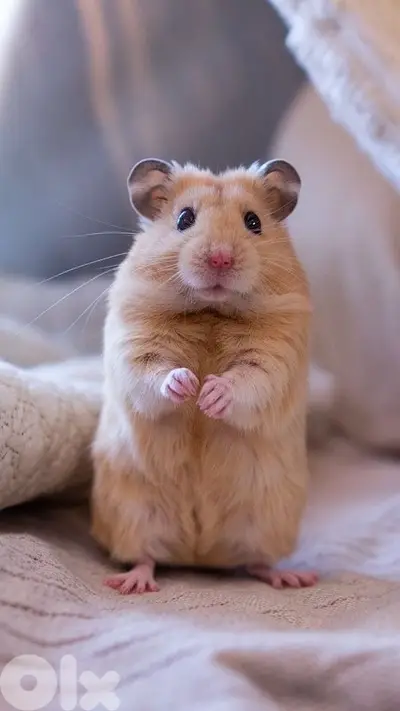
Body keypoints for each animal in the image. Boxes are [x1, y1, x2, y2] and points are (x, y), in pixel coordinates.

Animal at [91, 157, 317, 594]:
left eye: (253, 222)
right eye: (184, 218)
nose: (220, 260)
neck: (210, 310)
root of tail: (199, 554)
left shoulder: (276, 357)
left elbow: (249, 381)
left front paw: (210, 394)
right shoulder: (135, 347)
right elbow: (154, 373)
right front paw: (188, 385)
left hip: (266, 522)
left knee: (257, 563)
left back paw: (295, 577)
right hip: (133, 514)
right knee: (145, 556)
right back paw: (129, 583)